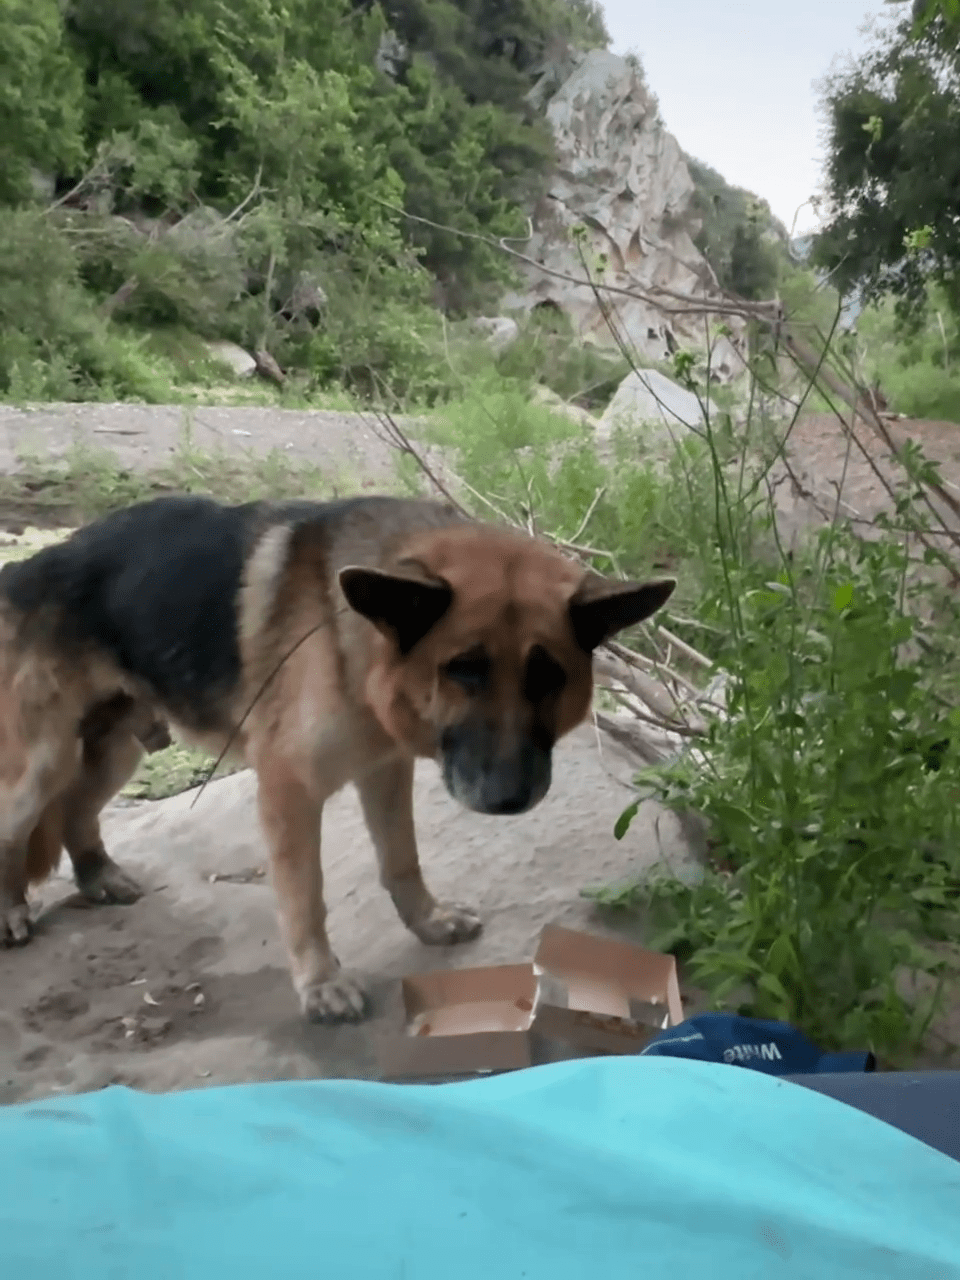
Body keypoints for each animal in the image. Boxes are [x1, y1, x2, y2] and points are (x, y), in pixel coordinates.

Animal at [0, 494, 675, 1024]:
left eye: (547, 676)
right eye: (464, 670)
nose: (508, 799)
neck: (353, 642)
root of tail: (31, 564)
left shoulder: (384, 769)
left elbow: (401, 860)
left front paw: (429, 922)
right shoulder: (288, 790)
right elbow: (306, 895)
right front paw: (322, 984)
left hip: (117, 750)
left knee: (76, 811)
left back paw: (97, 875)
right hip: (43, 764)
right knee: (16, 827)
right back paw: (11, 911)